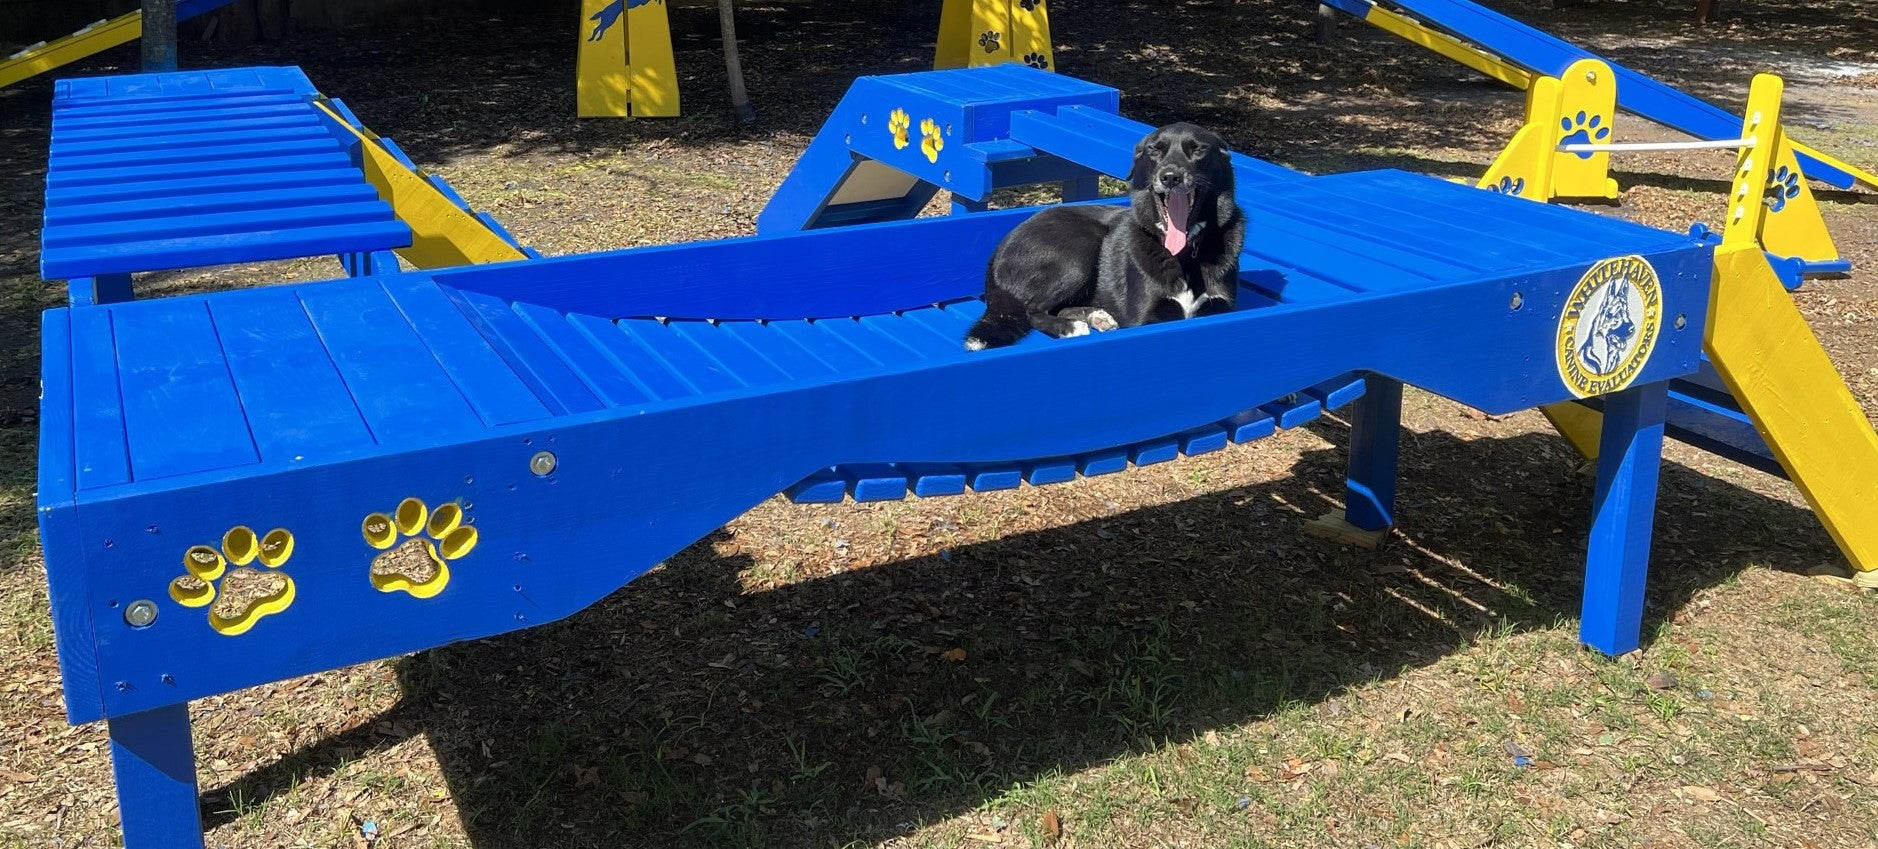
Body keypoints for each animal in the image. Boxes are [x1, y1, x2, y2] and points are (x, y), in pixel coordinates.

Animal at [969, 121, 1246, 349]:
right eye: (1155, 150)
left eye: (1198, 150)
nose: (1170, 177)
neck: (1185, 254)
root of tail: (994, 258)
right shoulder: (1146, 320)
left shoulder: (1223, 310)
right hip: (1080, 248)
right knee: (1032, 309)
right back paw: (1068, 327)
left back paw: (1096, 316)